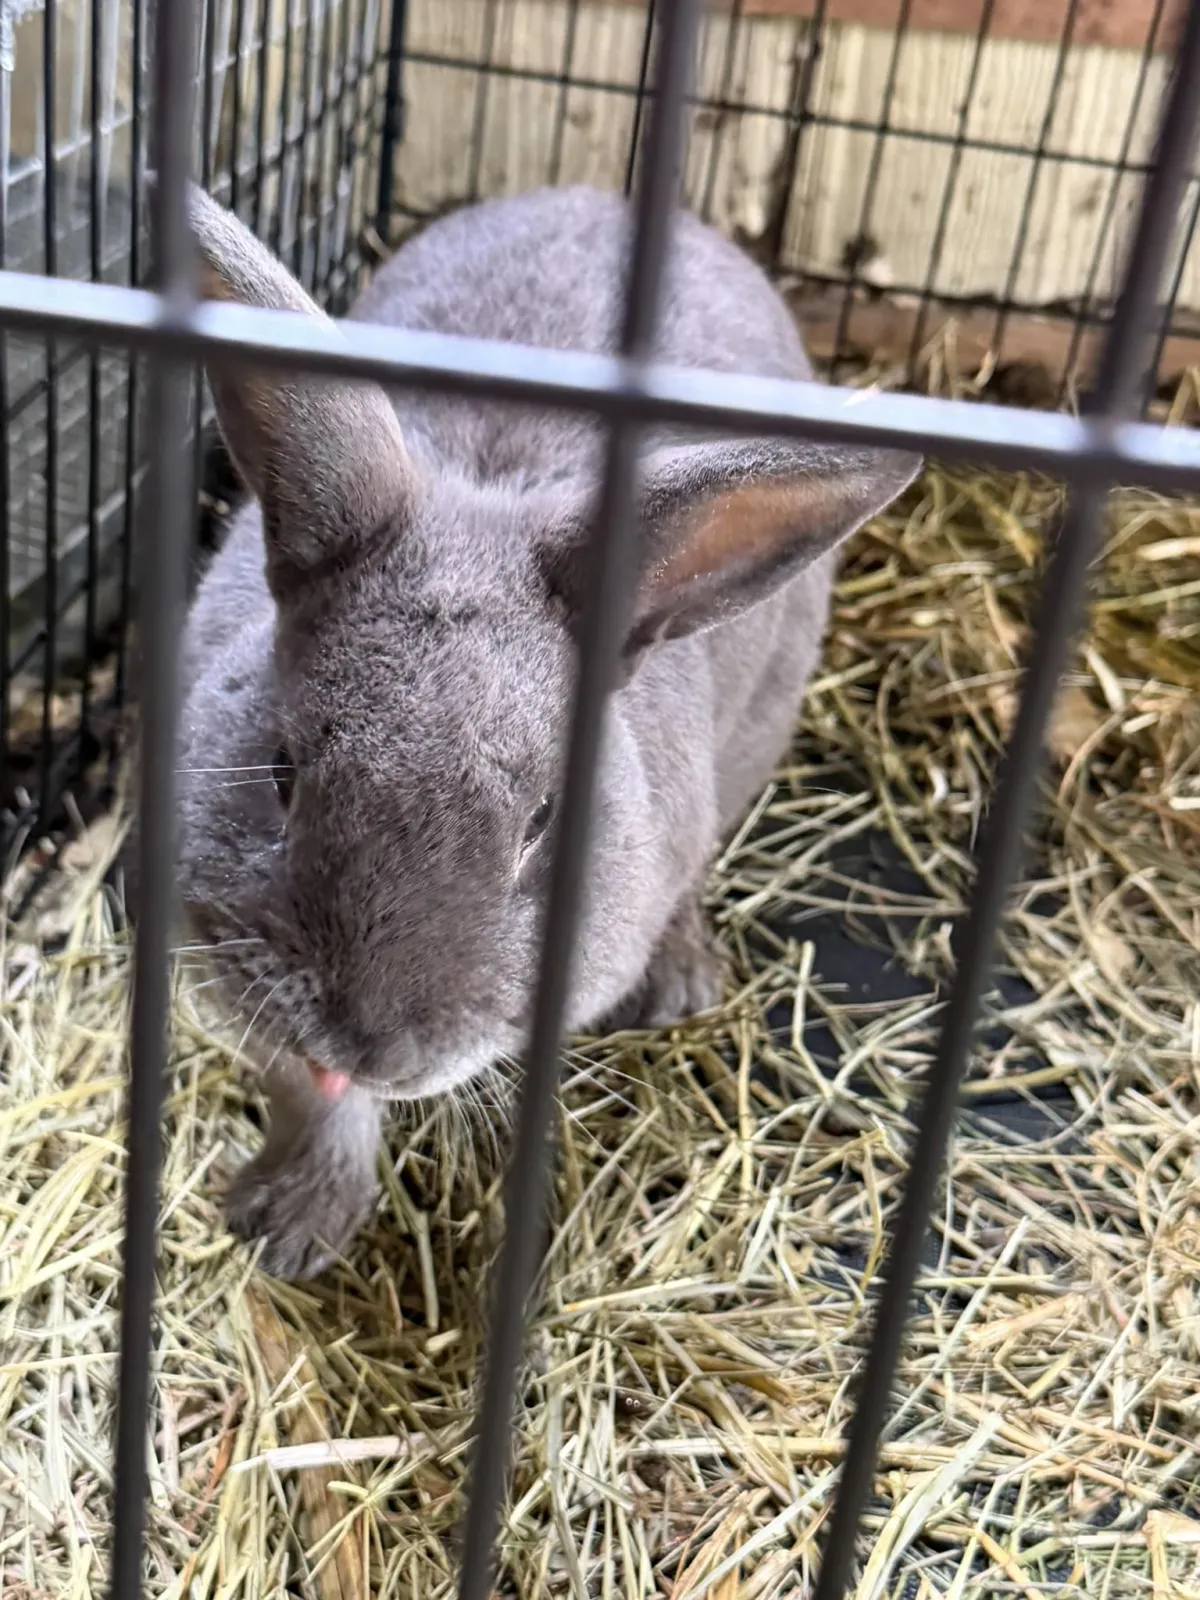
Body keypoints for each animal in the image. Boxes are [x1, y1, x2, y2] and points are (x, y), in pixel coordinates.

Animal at [171, 182, 921, 1279]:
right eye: (281, 770)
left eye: (542, 821)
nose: (369, 1044)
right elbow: (308, 1098)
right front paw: (290, 1229)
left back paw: (681, 982)